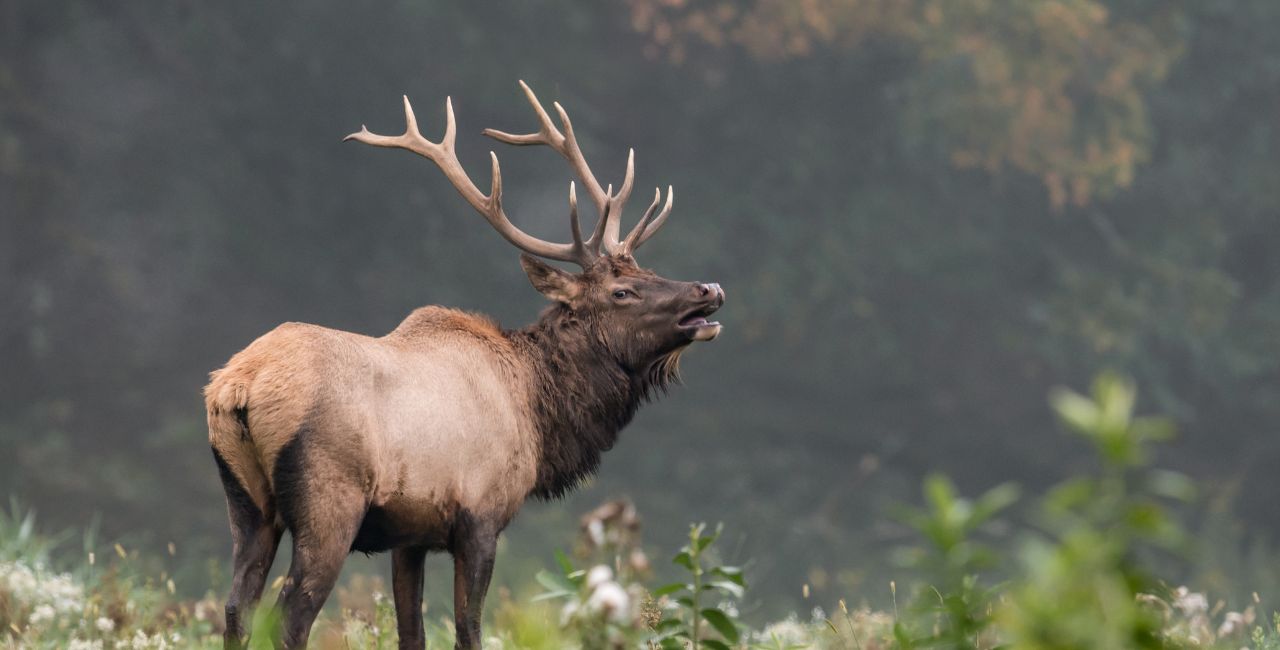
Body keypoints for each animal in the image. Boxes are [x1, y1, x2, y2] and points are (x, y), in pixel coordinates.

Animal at [199, 82, 721, 650]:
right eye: (621, 291)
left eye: (648, 270)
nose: (709, 289)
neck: (538, 414)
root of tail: (236, 388)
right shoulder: (480, 515)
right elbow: (469, 628)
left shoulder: (409, 534)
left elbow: (412, 631)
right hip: (329, 500)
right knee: (290, 615)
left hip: (247, 504)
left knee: (236, 608)